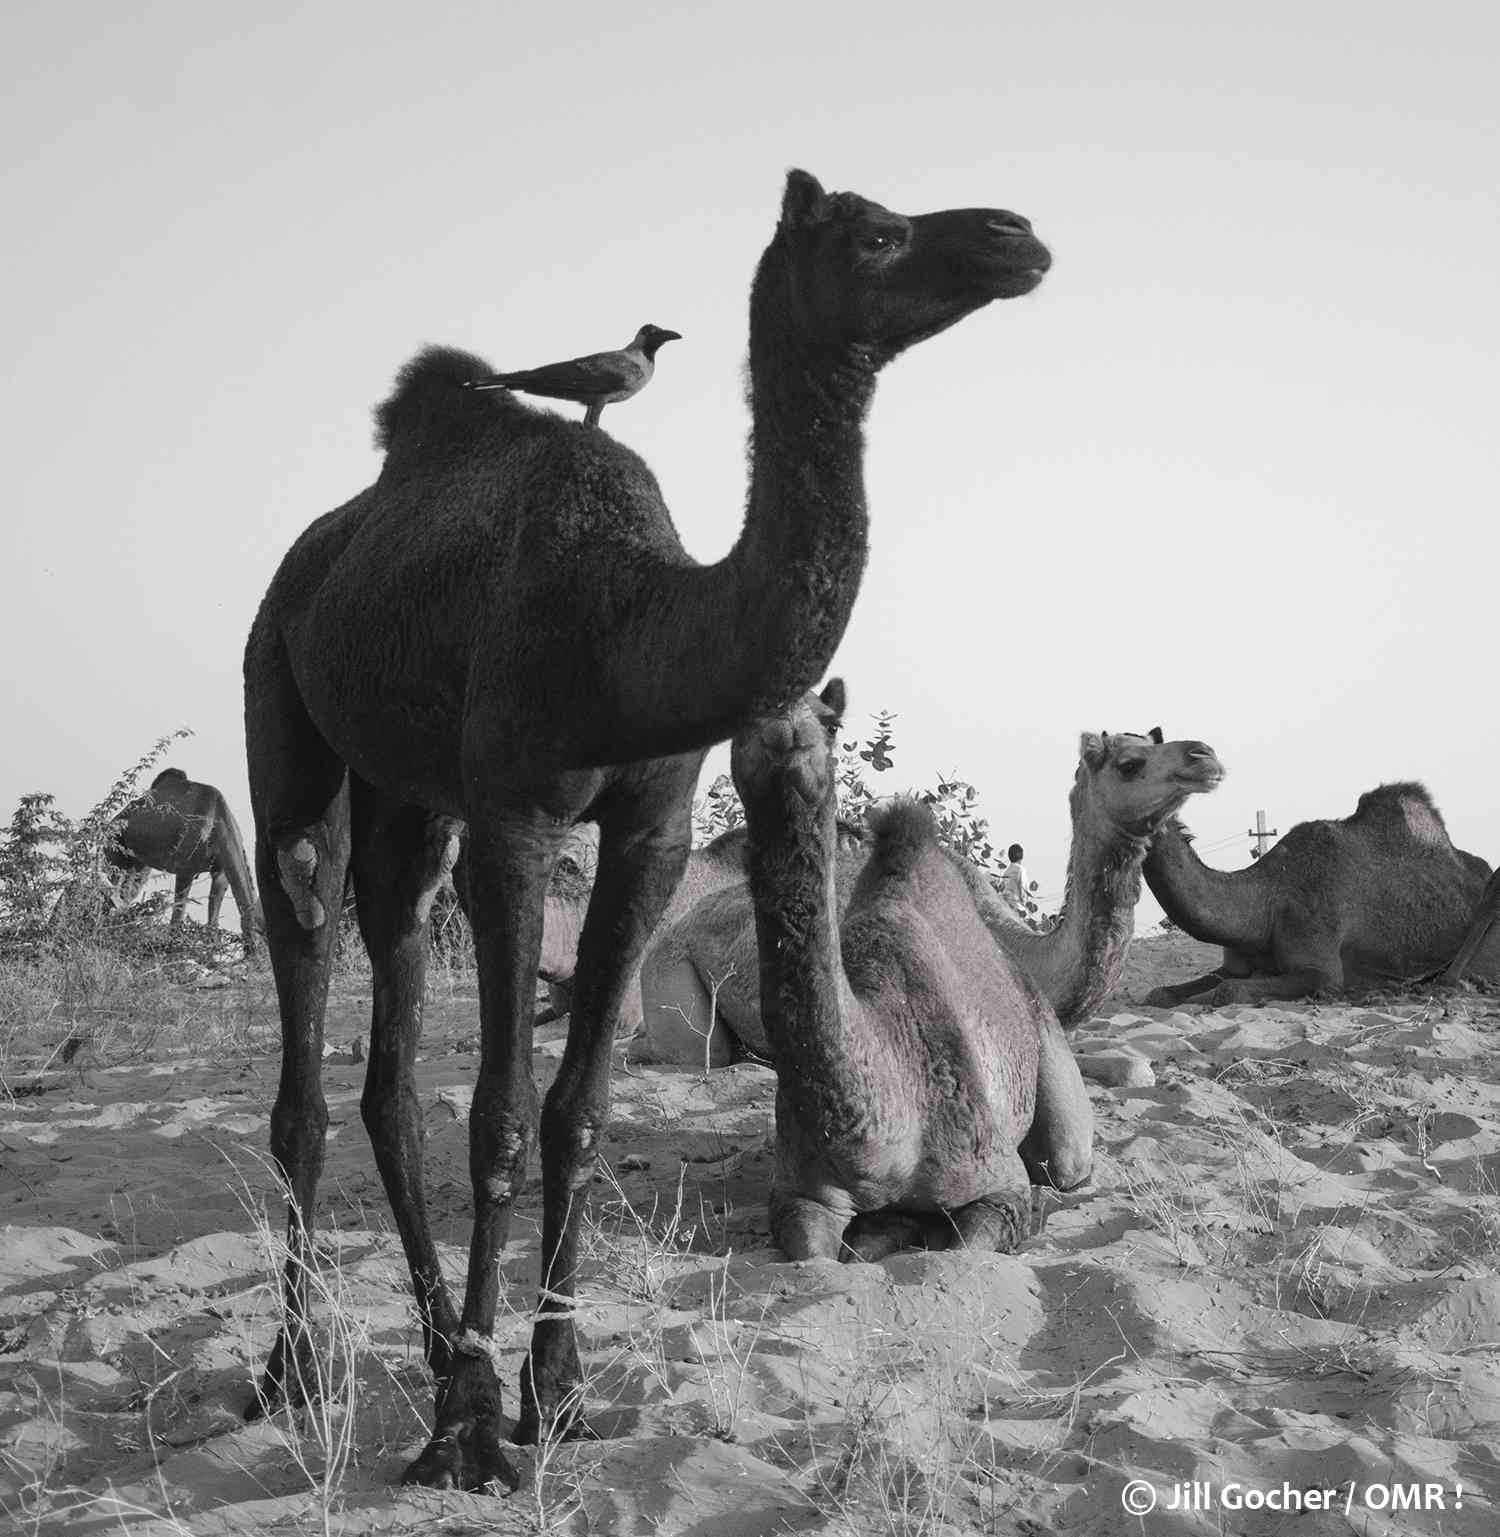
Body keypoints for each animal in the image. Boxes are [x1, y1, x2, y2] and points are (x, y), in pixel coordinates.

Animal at [106, 769, 261, 953]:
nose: (261, 958)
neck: (218, 824)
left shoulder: (221, 872)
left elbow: (212, 925)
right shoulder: (185, 870)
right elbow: (177, 919)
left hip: (139, 864)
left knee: (125, 895)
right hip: (115, 853)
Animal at [243, 168, 1051, 1491]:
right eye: (877, 234)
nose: (1015, 236)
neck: (627, 630)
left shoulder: (651, 832)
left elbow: (578, 1113)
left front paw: (557, 1395)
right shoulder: (517, 820)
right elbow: (500, 1114)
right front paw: (471, 1433)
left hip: (412, 802)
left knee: (390, 1055)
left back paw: (430, 1344)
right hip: (284, 718)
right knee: (305, 993)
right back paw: (295, 1369)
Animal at [733, 681, 1094, 1262]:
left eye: (831, 722)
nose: (784, 731)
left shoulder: (998, 1183)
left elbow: (972, 1245)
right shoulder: (798, 1193)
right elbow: (812, 1253)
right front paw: (884, 1230)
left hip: (1054, 1076)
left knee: (1065, 1161)